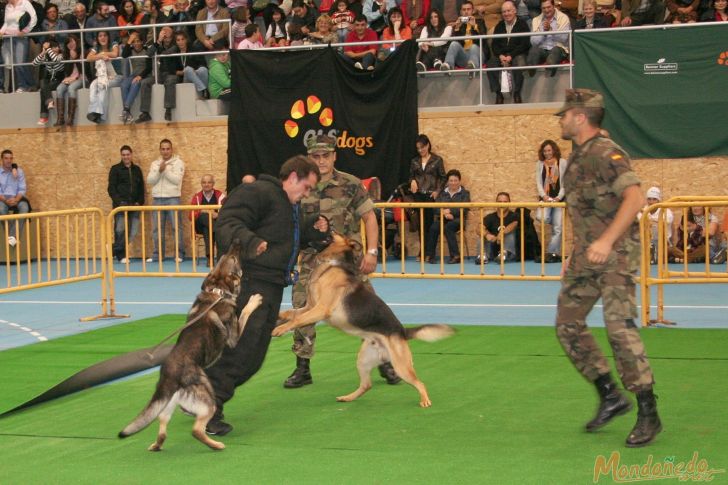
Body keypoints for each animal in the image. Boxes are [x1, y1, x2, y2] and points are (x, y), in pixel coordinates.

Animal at [119, 240, 264, 452]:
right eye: (234, 258)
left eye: (224, 257)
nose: (236, 242)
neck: (217, 291)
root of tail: (170, 375)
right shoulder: (234, 337)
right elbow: (245, 311)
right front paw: (254, 300)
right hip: (207, 399)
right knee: (196, 430)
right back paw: (216, 445)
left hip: (169, 405)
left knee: (162, 427)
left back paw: (157, 445)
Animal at [274, 233, 456, 406]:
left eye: (328, 235)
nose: (305, 242)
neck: (332, 264)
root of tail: (402, 331)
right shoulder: (309, 307)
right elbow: (290, 313)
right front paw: (277, 319)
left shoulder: (320, 309)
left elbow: (297, 320)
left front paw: (279, 329)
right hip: (363, 360)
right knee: (366, 385)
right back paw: (347, 398)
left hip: (401, 366)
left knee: (420, 383)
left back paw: (425, 400)